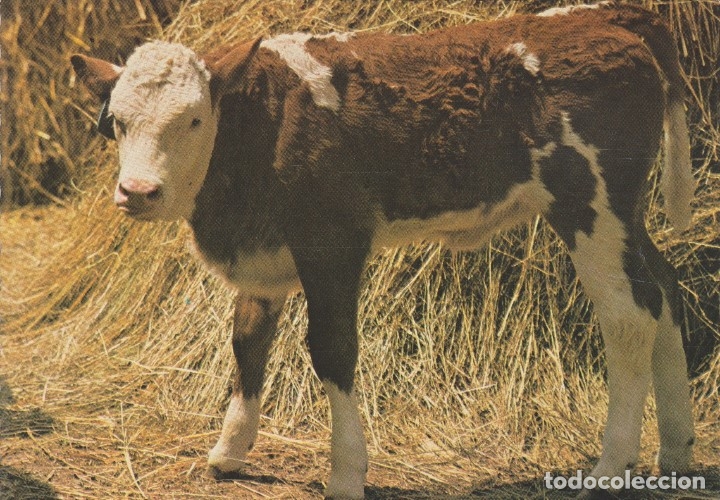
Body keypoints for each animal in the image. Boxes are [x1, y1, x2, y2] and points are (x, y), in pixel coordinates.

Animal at [71, 2, 696, 497]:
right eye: (117, 122)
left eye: (195, 119)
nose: (138, 191)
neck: (261, 128)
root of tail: (604, 17)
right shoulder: (262, 252)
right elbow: (248, 341)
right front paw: (230, 451)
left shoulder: (333, 243)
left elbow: (332, 350)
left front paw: (347, 472)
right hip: (624, 214)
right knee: (664, 289)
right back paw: (677, 451)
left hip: (590, 205)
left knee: (630, 313)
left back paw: (611, 467)